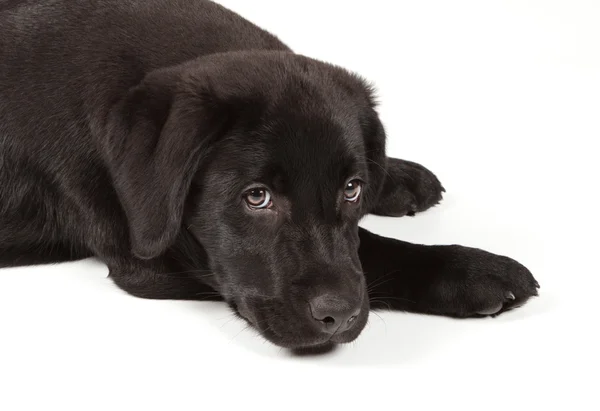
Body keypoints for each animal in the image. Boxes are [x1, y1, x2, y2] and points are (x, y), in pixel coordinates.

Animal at [0, 0, 540, 350]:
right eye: (256, 197)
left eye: (351, 188)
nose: (338, 318)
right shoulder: (149, 256)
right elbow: (376, 251)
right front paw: (472, 272)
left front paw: (394, 176)